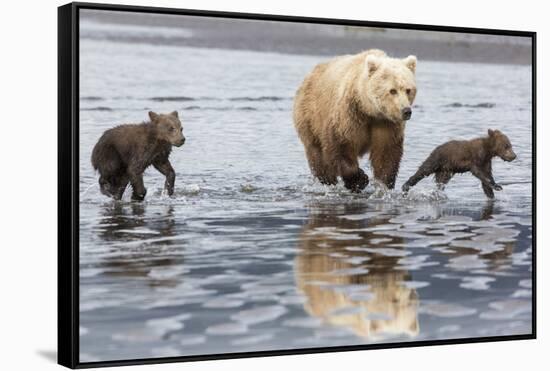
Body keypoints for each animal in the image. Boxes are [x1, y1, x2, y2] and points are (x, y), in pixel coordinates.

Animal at [294, 49, 418, 192]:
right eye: (392, 90)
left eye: (408, 90)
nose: (406, 111)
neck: (369, 110)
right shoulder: (349, 116)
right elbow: (340, 145)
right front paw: (359, 180)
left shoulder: (386, 123)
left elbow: (386, 152)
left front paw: (384, 184)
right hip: (310, 116)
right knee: (318, 154)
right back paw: (328, 181)